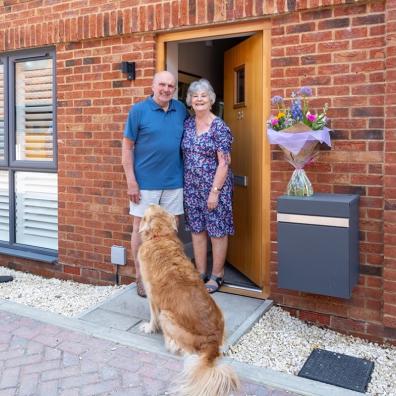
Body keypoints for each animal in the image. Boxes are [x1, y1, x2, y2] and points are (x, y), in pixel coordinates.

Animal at [138, 204, 240, 396]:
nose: (150, 203)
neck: (160, 236)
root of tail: (212, 342)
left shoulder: (152, 295)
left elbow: (152, 316)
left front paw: (148, 328)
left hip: (167, 316)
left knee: (183, 348)